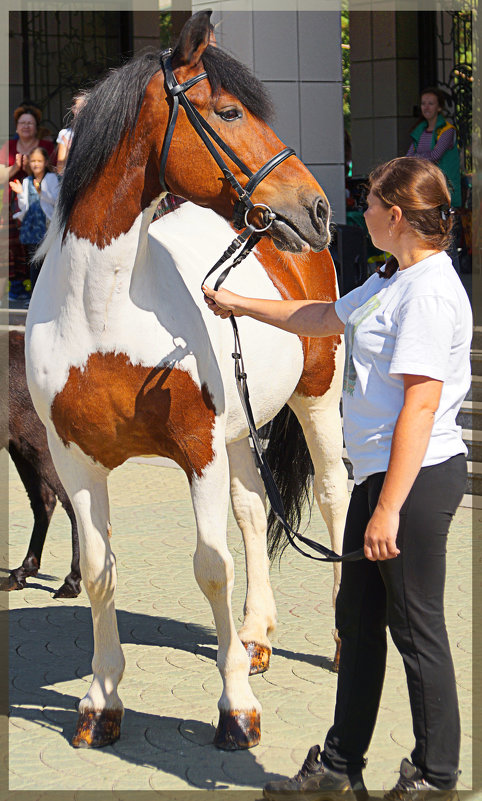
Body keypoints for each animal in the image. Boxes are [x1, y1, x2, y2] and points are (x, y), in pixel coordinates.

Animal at [24, 10, 348, 752]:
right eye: (228, 111)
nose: (316, 208)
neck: (101, 314)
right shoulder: (75, 461)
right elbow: (99, 570)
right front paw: (100, 702)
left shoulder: (196, 451)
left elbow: (210, 566)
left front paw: (236, 709)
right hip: (241, 430)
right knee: (254, 509)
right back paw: (254, 638)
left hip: (317, 396)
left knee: (337, 496)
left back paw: (340, 642)